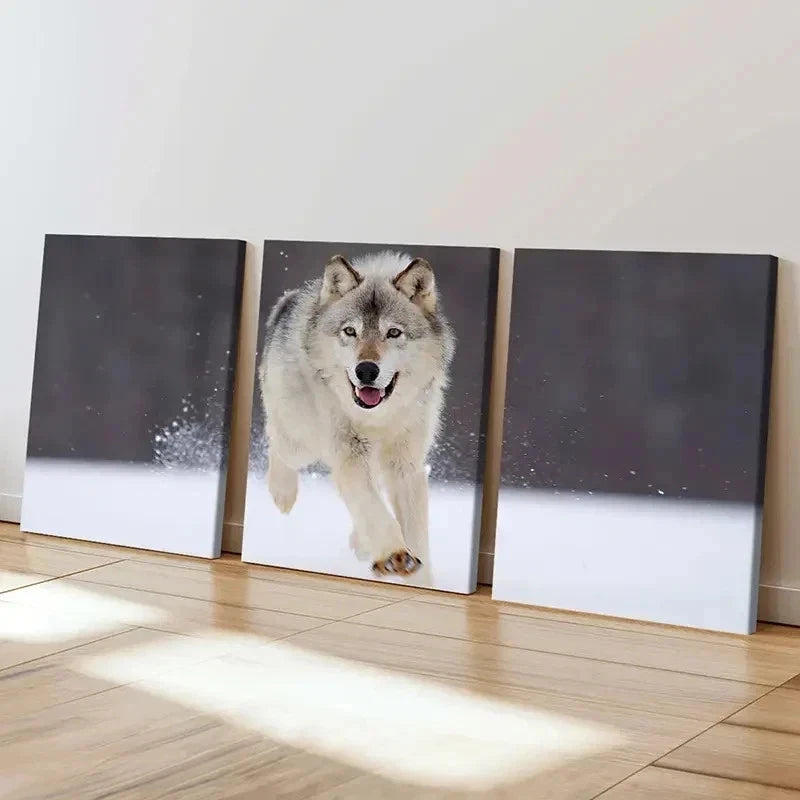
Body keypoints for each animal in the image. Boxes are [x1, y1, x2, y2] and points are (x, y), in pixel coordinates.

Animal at [258, 250, 455, 577]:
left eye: (393, 332)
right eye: (350, 331)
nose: (366, 370)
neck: (377, 418)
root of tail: (289, 300)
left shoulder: (405, 464)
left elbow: (414, 530)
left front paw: (419, 576)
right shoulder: (349, 454)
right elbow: (373, 508)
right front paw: (394, 554)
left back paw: (361, 543)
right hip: (301, 440)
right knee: (276, 444)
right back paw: (282, 494)